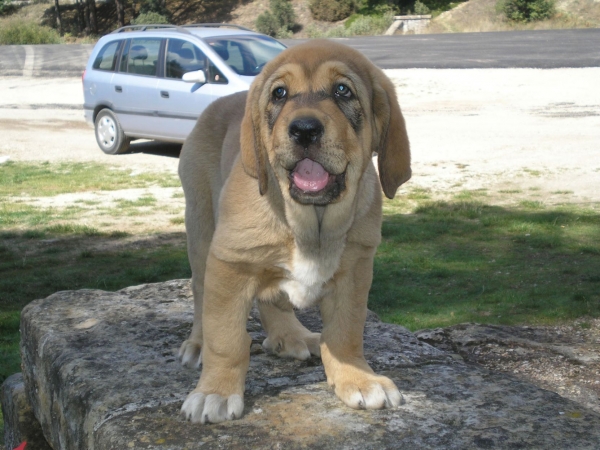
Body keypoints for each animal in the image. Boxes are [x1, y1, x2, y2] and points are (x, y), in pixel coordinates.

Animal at [178, 40, 412, 424]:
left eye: (342, 90)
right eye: (280, 93)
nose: (304, 129)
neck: (310, 223)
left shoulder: (356, 269)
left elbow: (347, 333)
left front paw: (357, 378)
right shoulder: (229, 264)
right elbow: (225, 338)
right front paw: (216, 392)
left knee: (273, 298)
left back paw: (292, 335)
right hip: (200, 229)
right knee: (199, 294)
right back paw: (197, 344)